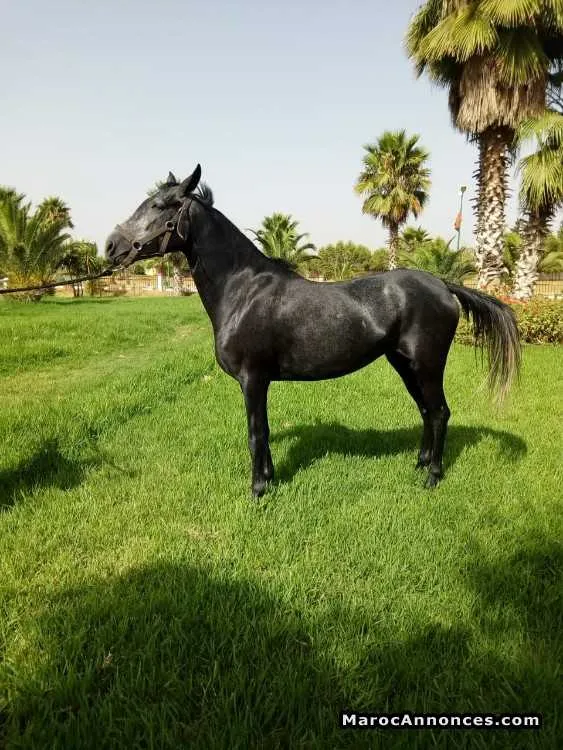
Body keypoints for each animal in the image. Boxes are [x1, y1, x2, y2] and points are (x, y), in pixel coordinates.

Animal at [105, 165, 521, 497]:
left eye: (161, 205)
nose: (111, 246)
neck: (243, 290)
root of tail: (443, 285)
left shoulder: (253, 379)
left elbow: (256, 433)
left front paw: (259, 489)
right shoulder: (259, 382)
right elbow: (264, 431)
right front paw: (270, 478)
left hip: (428, 364)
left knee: (439, 412)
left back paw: (432, 476)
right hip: (404, 365)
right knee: (425, 411)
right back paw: (418, 463)